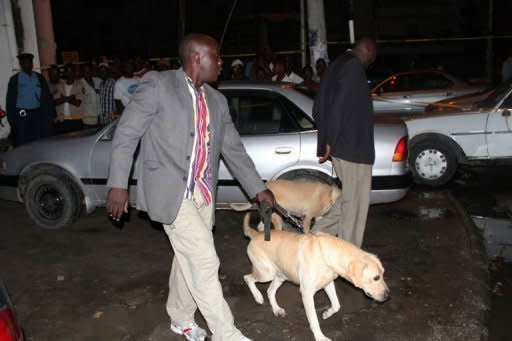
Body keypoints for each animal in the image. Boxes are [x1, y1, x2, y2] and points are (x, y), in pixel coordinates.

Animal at [242, 212, 390, 340]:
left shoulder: (328, 284)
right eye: (376, 277)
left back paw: (276, 309)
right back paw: (258, 297)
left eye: (383, 274)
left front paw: (327, 313)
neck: (327, 254)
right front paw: (320, 337)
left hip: (280, 276)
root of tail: (255, 234)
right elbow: (313, 319)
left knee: (270, 291)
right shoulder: (307, 293)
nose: (388, 296)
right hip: (267, 273)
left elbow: (336, 305)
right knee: (247, 278)